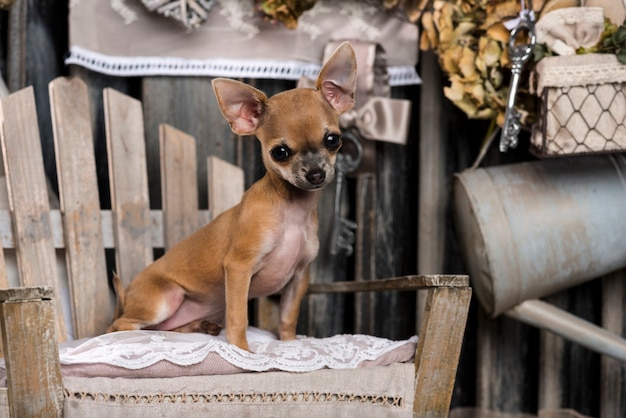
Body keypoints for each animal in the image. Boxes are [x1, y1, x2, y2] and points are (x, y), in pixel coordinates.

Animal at [107, 42, 356, 352]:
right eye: (280, 152)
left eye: (333, 140)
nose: (316, 174)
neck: (290, 210)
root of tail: (126, 299)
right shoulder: (239, 268)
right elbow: (239, 317)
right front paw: (242, 352)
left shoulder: (299, 278)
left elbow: (287, 317)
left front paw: (289, 344)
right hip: (164, 300)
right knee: (120, 326)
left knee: (168, 328)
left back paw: (200, 326)